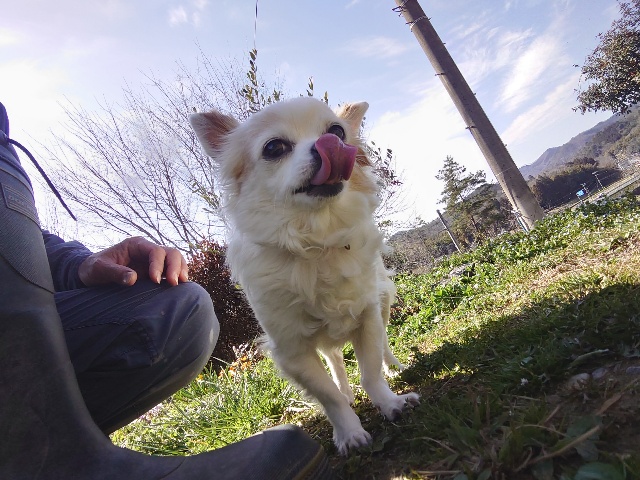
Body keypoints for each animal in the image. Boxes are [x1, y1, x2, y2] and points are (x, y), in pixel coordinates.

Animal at [189, 97, 419, 454]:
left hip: (381, 300)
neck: (316, 242)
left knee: (381, 344)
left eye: (337, 131)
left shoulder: (367, 317)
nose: (330, 143)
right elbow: (328, 396)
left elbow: (370, 371)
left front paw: (390, 402)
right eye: (274, 147)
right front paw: (349, 432)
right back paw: (346, 391)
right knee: (334, 358)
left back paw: (394, 368)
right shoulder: (292, 350)